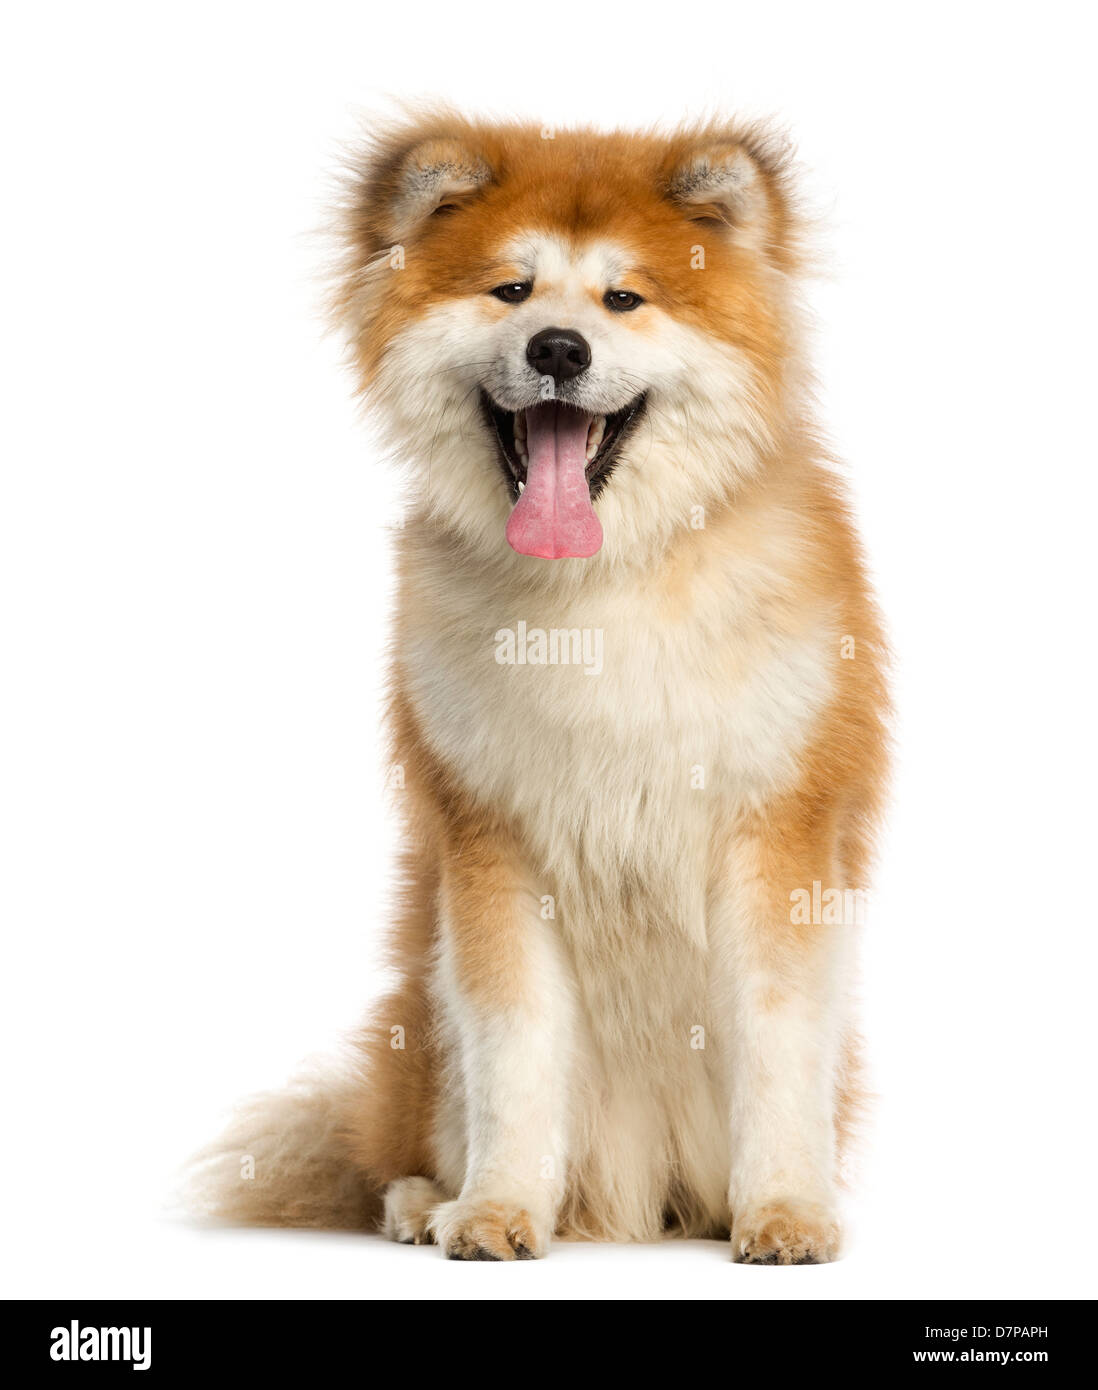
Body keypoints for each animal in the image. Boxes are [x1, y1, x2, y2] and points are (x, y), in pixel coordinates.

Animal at [191, 111, 895, 1262]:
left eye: (624, 300)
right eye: (510, 291)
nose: (558, 349)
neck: (604, 583)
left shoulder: (779, 834)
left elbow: (777, 1040)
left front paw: (787, 1212)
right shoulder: (493, 843)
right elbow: (515, 1049)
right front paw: (497, 1210)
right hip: (423, 1018)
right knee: (404, 1142)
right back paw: (425, 1204)